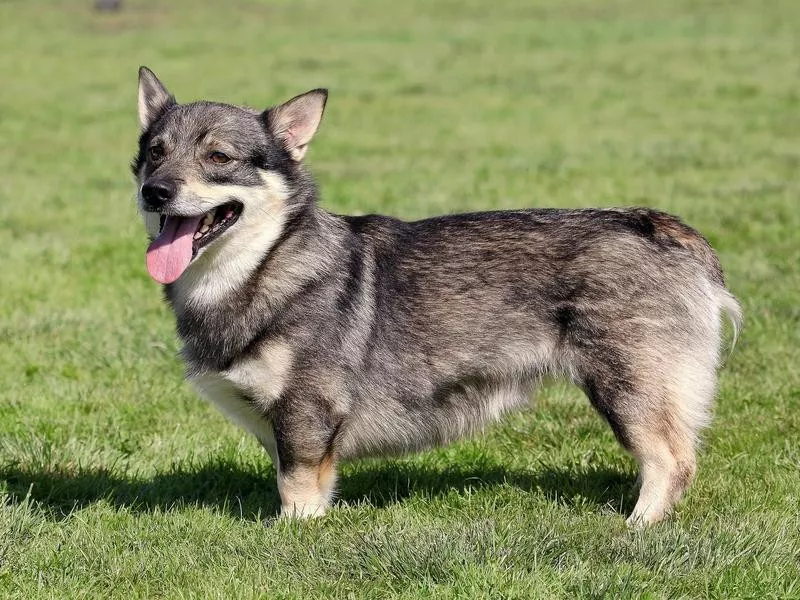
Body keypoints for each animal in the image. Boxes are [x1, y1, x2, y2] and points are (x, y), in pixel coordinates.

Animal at [133, 67, 744, 524]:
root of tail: (663, 227)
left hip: (628, 386)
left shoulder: (306, 415)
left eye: (219, 158)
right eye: (155, 152)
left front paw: (292, 536)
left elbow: (297, 489)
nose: (154, 191)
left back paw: (637, 527)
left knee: (671, 460)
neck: (265, 263)